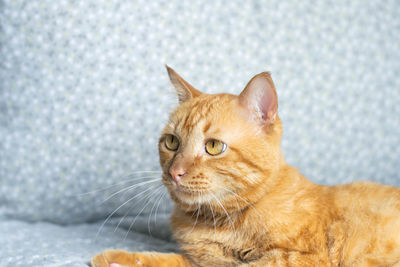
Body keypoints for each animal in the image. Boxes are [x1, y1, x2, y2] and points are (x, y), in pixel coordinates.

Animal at [92, 66, 400, 266]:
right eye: (171, 142)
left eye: (213, 147)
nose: (174, 172)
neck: (221, 220)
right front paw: (121, 259)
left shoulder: (299, 259)